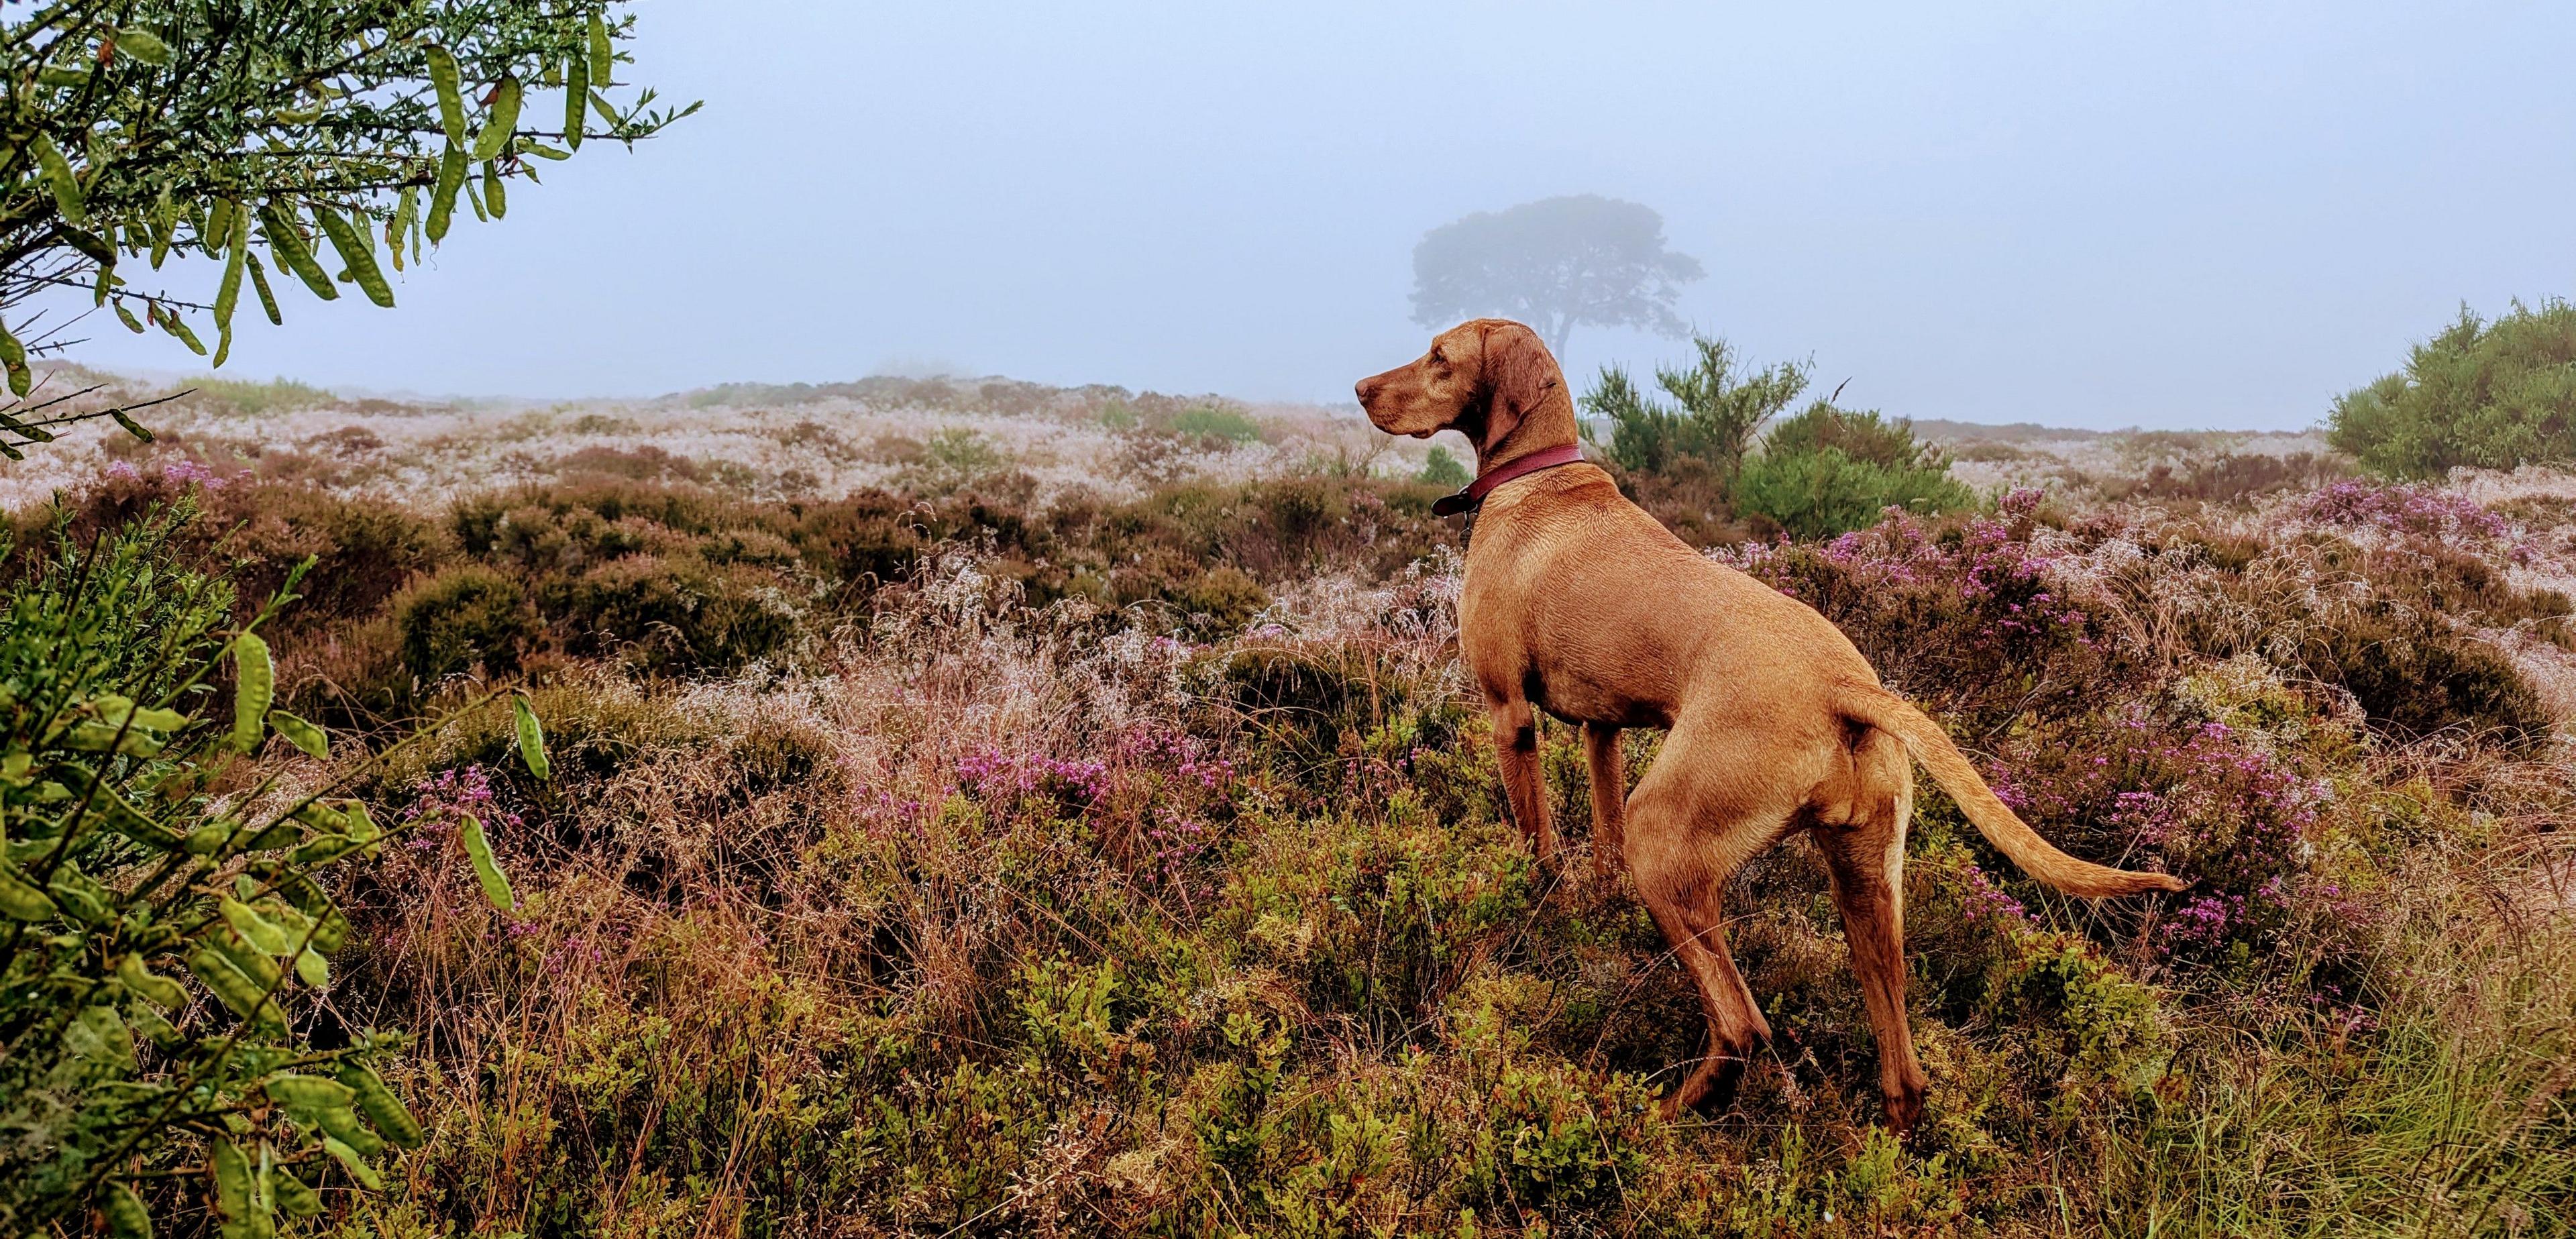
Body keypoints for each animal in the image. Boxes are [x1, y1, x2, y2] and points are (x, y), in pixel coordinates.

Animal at [1350, 317, 2174, 1128]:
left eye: (1439, 356)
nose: (1358, 388)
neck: (1537, 477)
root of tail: (1847, 686)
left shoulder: (1509, 715)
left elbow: (1537, 846)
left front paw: (1535, 911)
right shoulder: (1601, 728)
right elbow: (1600, 831)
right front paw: (1596, 905)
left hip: (1668, 841)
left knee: (1744, 1023)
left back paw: (1666, 1110)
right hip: (1866, 887)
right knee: (1902, 1065)